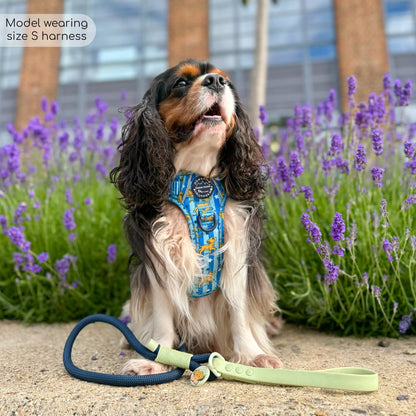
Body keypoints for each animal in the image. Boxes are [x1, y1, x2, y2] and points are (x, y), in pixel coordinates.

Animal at [109, 57, 282, 374]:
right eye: (181, 83)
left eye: (226, 81)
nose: (215, 81)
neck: (197, 178)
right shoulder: (159, 250)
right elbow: (162, 316)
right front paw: (156, 358)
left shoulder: (236, 247)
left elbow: (239, 311)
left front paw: (252, 357)